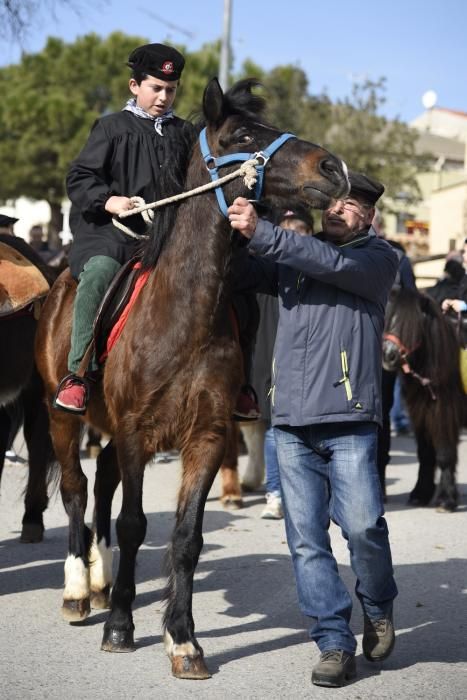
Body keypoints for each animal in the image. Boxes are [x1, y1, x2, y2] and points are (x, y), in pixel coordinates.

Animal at [34, 79, 348, 680]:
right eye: (244, 135)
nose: (334, 167)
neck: (183, 314)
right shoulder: (137, 433)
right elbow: (135, 524)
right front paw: (121, 627)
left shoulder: (204, 436)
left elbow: (185, 538)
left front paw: (182, 638)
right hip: (63, 419)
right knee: (76, 489)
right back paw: (79, 589)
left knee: (101, 484)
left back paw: (103, 578)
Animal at [384, 288, 464, 512]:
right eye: (390, 318)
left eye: (413, 324)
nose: (388, 356)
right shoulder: (421, 414)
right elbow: (425, 453)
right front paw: (420, 493)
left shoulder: (444, 413)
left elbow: (445, 453)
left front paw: (446, 499)